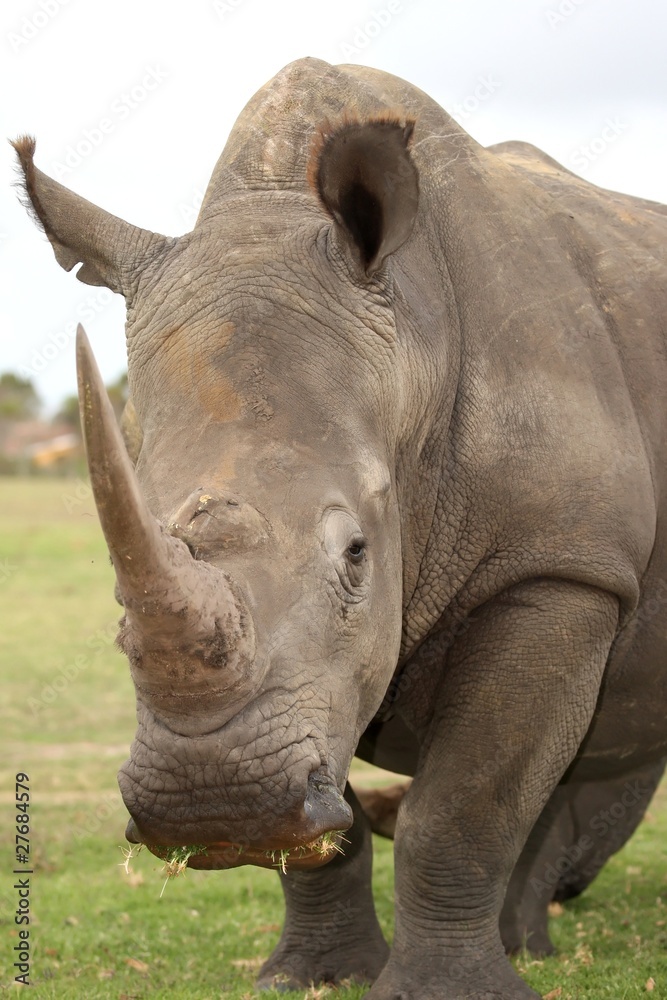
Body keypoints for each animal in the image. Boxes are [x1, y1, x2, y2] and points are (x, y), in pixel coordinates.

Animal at [14, 57, 667, 999]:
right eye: (114, 588)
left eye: (358, 555)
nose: (210, 803)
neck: (416, 342)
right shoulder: (309, 683)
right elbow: (334, 819)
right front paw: (311, 978)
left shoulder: (559, 564)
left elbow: (464, 803)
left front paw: (445, 992)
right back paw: (530, 945)